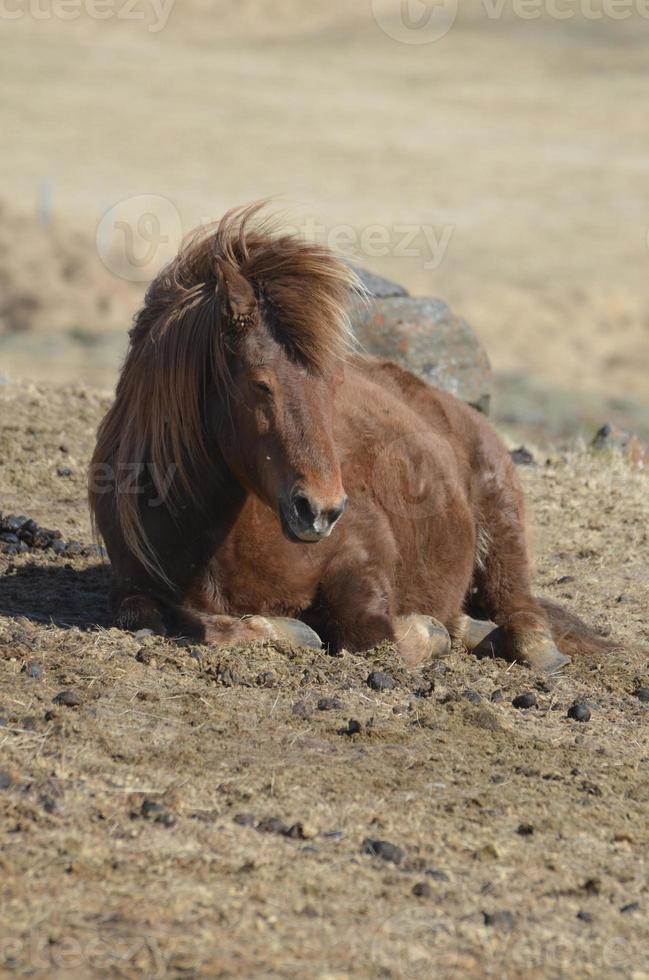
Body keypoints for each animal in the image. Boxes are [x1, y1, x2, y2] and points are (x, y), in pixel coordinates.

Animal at [90, 205, 608, 672]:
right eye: (260, 384)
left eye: (334, 383)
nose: (320, 510)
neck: (215, 535)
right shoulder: (132, 590)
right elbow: (173, 620)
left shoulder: (363, 553)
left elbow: (371, 634)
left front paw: (426, 631)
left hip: (501, 521)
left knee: (519, 606)